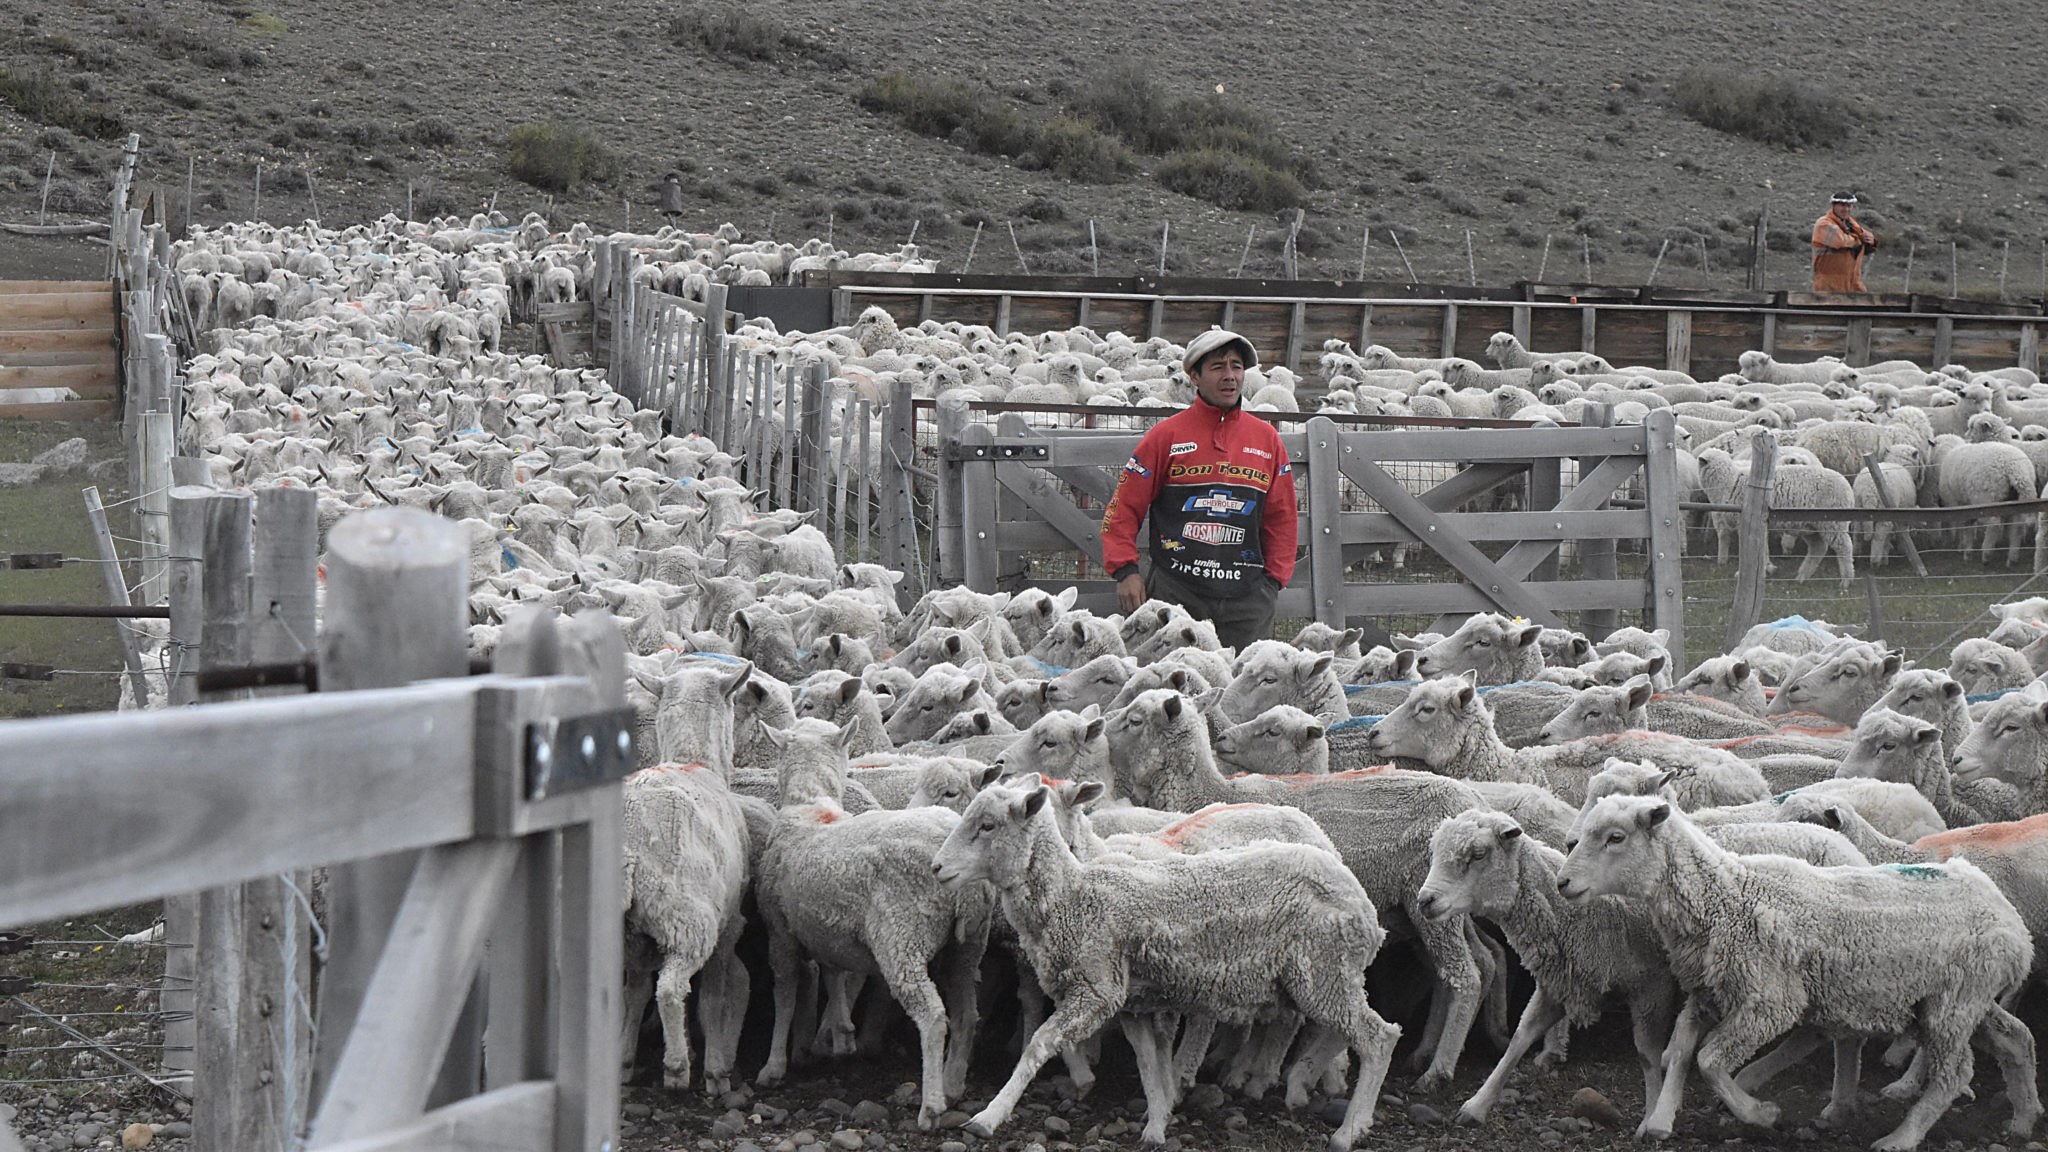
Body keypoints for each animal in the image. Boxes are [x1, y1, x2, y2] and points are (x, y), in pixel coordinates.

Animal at [932, 781, 1402, 1152]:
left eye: (988, 825)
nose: (937, 867)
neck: (1072, 897)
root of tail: (1362, 904)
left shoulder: (1097, 989)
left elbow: (1039, 1045)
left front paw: (989, 1117)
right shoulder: (1131, 1002)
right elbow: (1147, 1064)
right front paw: (1157, 1125)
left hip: (1323, 970)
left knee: (1378, 1037)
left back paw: (1347, 1129)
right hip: (1317, 975)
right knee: (1338, 1030)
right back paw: (1302, 1082)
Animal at [1557, 794, 2039, 1150]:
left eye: (1615, 837)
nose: (1562, 883)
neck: (1728, 898)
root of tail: (2010, 920)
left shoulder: (1770, 1002)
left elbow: (1710, 1060)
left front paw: (1761, 1114)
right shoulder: (1706, 992)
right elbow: (1678, 1052)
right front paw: (1658, 1120)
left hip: (1953, 1004)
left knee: (1954, 1073)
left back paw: (1900, 1137)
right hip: (1961, 999)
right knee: (2017, 1039)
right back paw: (2024, 1118)